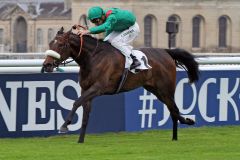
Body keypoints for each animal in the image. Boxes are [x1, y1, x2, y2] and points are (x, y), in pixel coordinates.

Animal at [41, 26, 199, 142]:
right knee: (173, 110)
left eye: (61, 45)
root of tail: (166, 52)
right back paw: (179, 131)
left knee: (174, 109)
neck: (92, 58)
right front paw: (80, 141)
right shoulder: (86, 90)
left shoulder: (97, 88)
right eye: (50, 43)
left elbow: (76, 102)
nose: (47, 65)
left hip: (166, 89)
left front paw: (64, 126)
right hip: (156, 90)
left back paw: (183, 127)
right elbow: (85, 115)